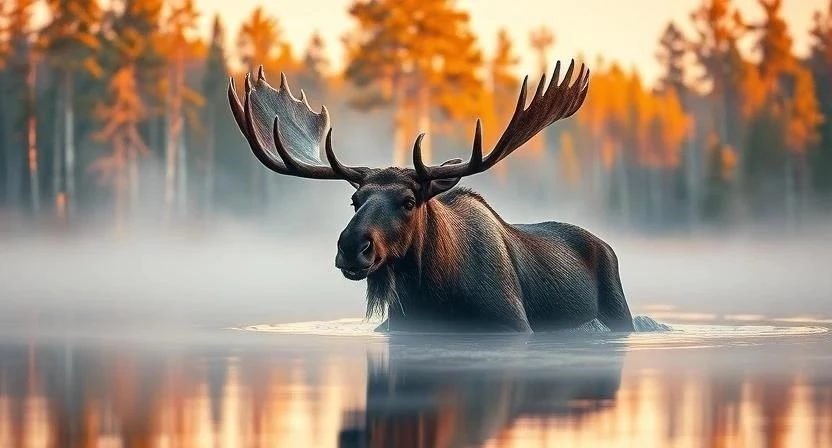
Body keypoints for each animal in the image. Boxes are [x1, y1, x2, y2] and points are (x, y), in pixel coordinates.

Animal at [227, 59, 635, 333]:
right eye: (355, 201)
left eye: (409, 202)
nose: (352, 246)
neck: (431, 292)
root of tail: (606, 245)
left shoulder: (514, 326)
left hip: (619, 310)